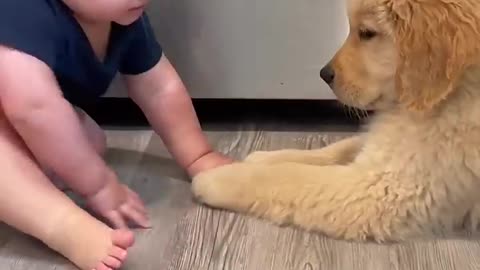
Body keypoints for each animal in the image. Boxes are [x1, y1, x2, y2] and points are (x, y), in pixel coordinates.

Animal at [192, 0, 480, 242]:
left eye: (367, 33)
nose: (324, 74)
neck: (456, 90)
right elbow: (334, 149)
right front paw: (265, 157)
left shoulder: (385, 190)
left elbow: (290, 177)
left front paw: (218, 178)